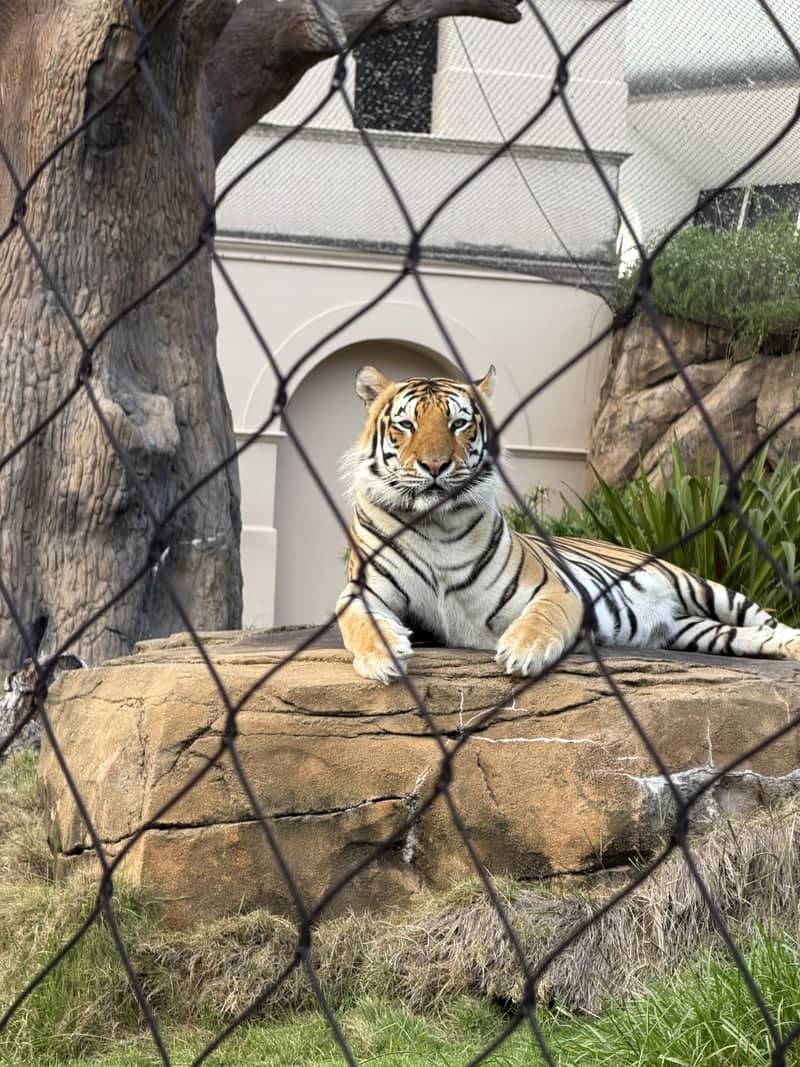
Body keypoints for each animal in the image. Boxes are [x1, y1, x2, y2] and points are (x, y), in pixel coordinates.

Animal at [336, 365, 800, 685]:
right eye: (406, 425)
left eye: (459, 424)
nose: (435, 465)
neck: (434, 524)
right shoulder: (362, 591)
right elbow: (359, 622)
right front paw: (383, 656)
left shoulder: (556, 590)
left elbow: (542, 617)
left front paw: (522, 651)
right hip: (695, 630)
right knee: (748, 637)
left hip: (703, 587)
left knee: (770, 621)